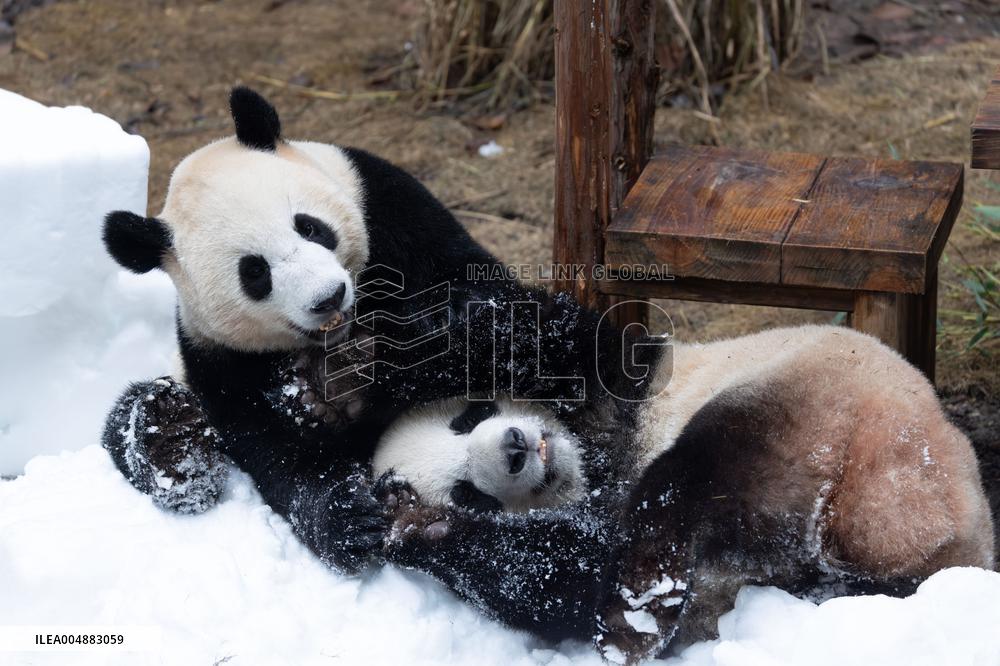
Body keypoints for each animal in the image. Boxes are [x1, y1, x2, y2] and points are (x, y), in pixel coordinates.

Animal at [371, 325, 995, 663]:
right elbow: (555, 575)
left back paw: (633, 616)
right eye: (469, 493)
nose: (515, 450)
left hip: (814, 403)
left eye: (470, 415)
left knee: (691, 475)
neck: (595, 463)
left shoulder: (621, 381)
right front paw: (417, 524)